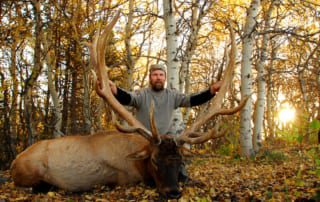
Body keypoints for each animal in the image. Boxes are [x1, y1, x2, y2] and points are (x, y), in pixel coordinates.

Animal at [10, 12, 249, 199]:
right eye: (154, 160)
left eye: (179, 158)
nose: (173, 192)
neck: (138, 158)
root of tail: (13, 163)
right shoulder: (128, 177)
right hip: (31, 172)